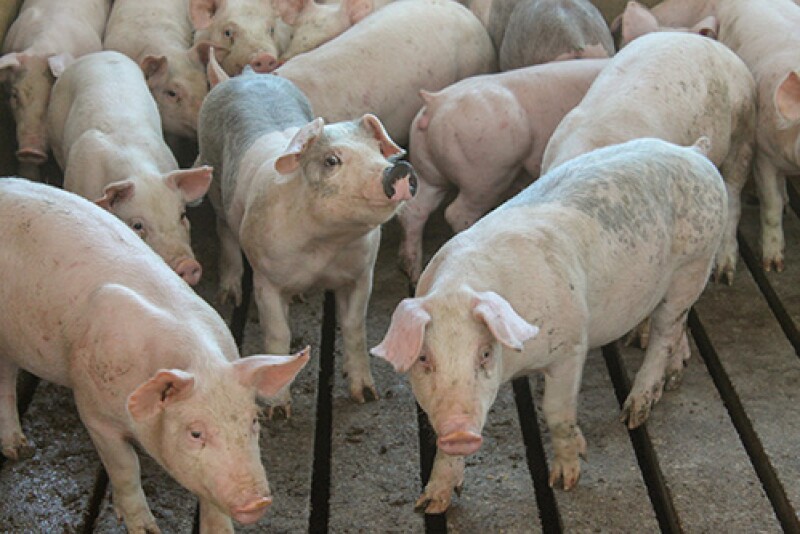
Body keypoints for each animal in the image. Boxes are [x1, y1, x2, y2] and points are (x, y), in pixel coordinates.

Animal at [0, 177, 310, 533]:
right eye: (195, 432)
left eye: (254, 421)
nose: (257, 501)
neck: (200, 363)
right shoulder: (93, 412)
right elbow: (126, 469)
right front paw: (145, 528)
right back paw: (19, 452)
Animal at [196, 60, 416, 411]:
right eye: (331, 160)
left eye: (379, 151)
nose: (397, 169)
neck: (325, 246)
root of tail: (243, 76)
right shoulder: (266, 278)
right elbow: (278, 334)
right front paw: (278, 411)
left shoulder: (360, 273)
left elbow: (354, 328)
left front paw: (366, 396)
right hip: (214, 177)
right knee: (225, 230)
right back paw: (229, 296)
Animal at [373, 137, 728, 512]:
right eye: (424, 358)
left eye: (485, 353)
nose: (459, 433)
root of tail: (693, 152)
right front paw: (429, 504)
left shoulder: (571, 346)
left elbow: (557, 413)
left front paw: (565, 481)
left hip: (694, 265)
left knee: (665, 331)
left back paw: (634, 412)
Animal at [398, 58, 608, 284]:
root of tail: (435, 102)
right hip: (487, 172)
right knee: (457, 213)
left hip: (427, 171)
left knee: (414, 210)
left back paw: (414, 275)